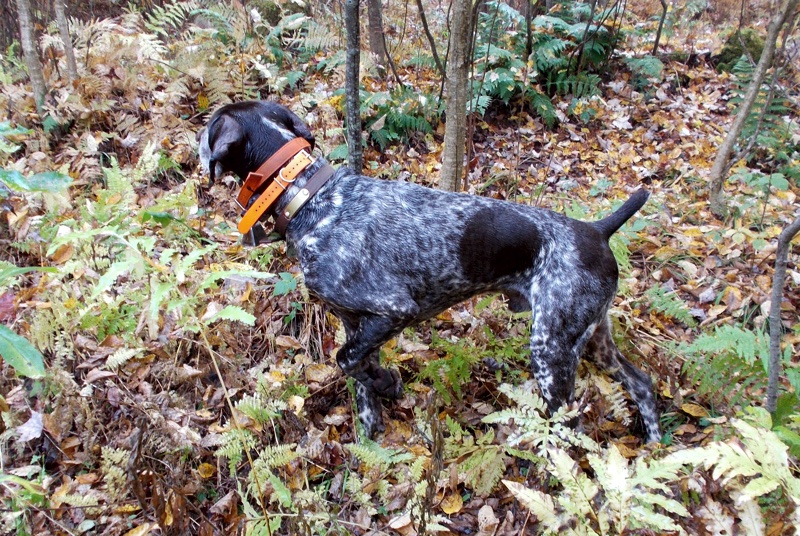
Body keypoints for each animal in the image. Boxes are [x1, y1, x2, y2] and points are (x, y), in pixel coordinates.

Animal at [197, 100, 660, 444]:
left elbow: (345, 360)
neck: (311, 196)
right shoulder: (356, 322)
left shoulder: (396, 309)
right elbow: (359, 378)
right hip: (593, 339)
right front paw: (375, 421)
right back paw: (654, 444)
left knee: (573, 426)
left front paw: (386, 383)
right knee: (642, 384)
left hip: (552, 351)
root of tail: (596, 230)